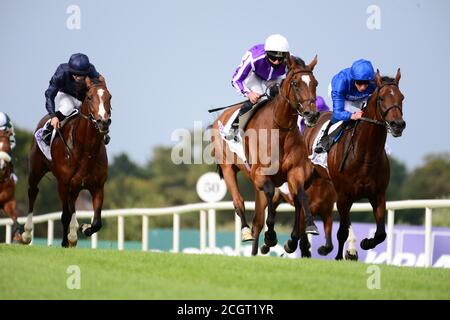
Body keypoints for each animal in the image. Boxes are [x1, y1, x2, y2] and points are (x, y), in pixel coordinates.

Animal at [21, 76, 111, 246]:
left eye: (109, 97)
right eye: (89, 97)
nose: (103, 122)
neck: (86, 151)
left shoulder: (98, 186)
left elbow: (97, 222)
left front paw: (84, 229)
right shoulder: (63, 183)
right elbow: (65, 215)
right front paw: (64, 242)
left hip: (74, 187)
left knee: (72, 204)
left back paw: (73, 233)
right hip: (36, 170)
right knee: (32, 192)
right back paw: (27, 234)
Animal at [213, 55, 322, 255]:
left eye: (315, 83)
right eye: (295, 83)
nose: (312, 114)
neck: (280, 129)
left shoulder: (295, 172)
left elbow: (301, 195)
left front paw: (302, 232)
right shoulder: (260, 175)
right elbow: (271, 194)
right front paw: (271, 236)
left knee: (258, 219)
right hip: (228, 168)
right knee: (239, 202)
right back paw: (246, 232)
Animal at [304, 70, 406, 260]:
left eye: (401, 97)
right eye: (381, 98)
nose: (398, 125)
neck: (365, 156)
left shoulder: (378, 195)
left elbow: (381, 233)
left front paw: (366, 243)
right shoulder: (343, 195)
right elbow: (342, 231)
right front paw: (338, 257)